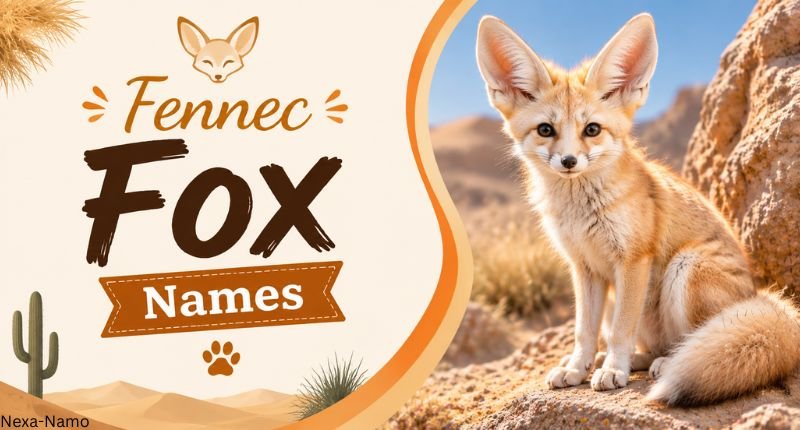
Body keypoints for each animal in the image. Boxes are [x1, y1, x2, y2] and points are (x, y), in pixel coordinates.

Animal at [476, 13, 800, 406]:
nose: (568, 161)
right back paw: (635, 361)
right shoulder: (585, 268)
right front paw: (578, 368)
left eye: (592, 129)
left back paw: (664, 363)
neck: (581, 212)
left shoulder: (632, 260)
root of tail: (758, 295)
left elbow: (619, 331)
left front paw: (614, 371)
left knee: (688, 341)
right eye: (545, 130)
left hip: (685, 268)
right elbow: (585, 332)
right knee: (651, 345)